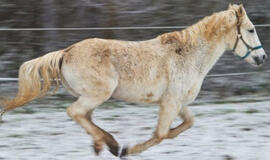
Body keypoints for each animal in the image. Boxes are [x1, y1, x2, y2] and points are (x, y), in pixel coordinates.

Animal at [0, 3, 266, 158]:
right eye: (251, 30)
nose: (262, 57)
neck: (189, 56)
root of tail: (67, 52)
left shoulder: (177, 103)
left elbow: (186, 125)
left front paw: (124, 148)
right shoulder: (170, 103)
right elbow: (161, 134)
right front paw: (129, 150)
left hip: (92, 96)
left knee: (85, 117)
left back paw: (106, 144)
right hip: (98, 94)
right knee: (75, 112)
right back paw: (111, 145)